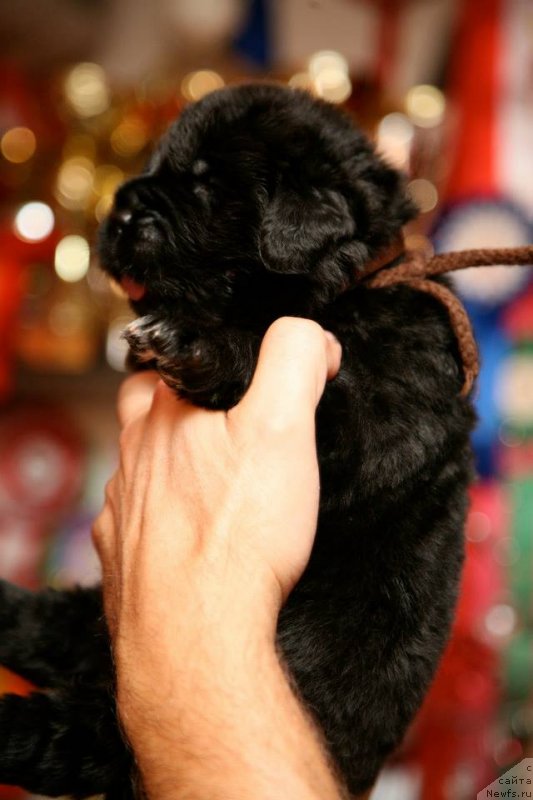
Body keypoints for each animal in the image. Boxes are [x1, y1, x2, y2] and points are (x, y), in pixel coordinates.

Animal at [0, 83, 474, 800]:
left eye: (205, 184)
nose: (120, 209)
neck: (346, 290)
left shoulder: (380, 413)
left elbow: (274, 360)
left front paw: (193, 343)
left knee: (88, 734)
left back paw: (12, 725)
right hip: (98, 623)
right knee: (54, 625)